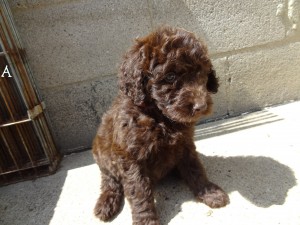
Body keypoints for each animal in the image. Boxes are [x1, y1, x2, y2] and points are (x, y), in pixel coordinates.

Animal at [92, 26, 229, 225]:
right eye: (170, 77)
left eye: (202, 73)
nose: (201, 106)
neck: (160, 117)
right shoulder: (131, 157)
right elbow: (139, 191)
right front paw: (146, 220)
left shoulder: (185, 144)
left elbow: (195, 168)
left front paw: (209, 192)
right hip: (102, 155)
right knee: (110, 180)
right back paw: (106, 203)